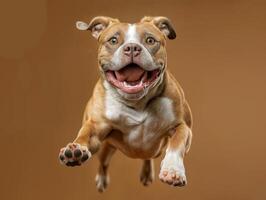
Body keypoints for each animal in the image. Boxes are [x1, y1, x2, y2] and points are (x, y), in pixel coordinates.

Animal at [58, 16, 192, 192]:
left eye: (150, 40)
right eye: (113, 40)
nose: (132, 48)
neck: (137, 103)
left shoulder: (183, 126)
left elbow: (178, 141)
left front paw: (173, 170)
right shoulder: (96, 126)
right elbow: (85, 135)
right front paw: (75, 149)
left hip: (154, 151)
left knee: (147, 157)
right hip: (107, 147)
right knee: (103, 162)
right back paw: (102, 179)